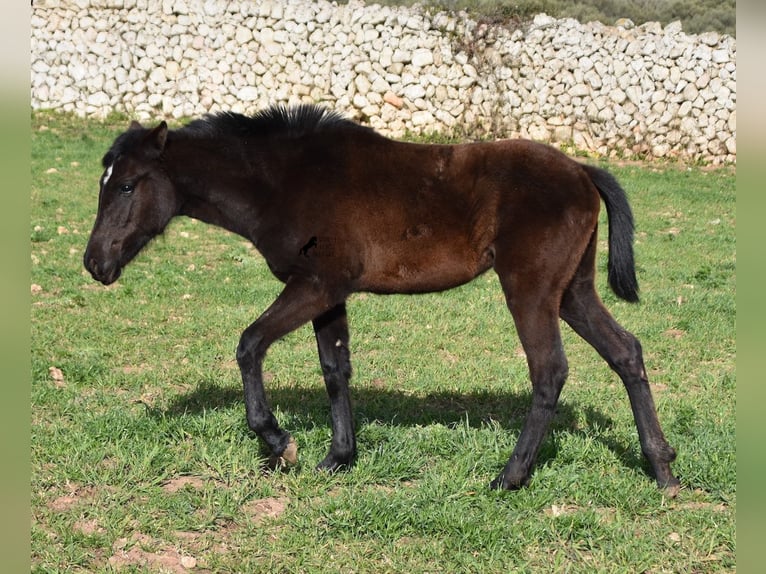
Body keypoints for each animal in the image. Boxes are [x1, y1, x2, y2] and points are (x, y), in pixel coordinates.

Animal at [84, 104, 680, 496]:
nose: (95, 264)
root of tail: (583, 170)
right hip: (572, 291)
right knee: (626, 351)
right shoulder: (329, 294)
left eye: (128, 185)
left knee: (550, 371)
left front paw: (280, 443)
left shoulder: (315, 285)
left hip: (530, 288)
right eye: (104, 181)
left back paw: (509, 478)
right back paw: (664, 470)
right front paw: (338, 458)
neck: (283, 181)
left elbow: (250, 344)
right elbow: (335, 369)